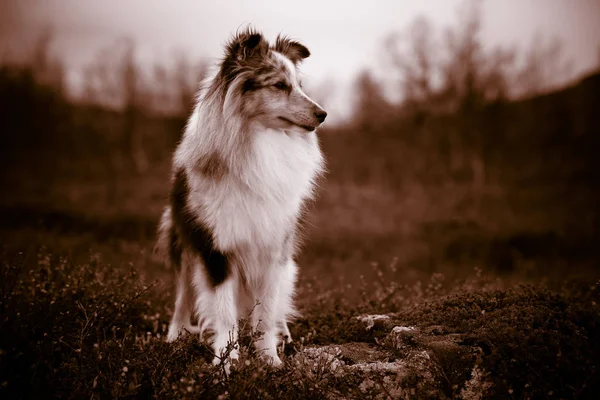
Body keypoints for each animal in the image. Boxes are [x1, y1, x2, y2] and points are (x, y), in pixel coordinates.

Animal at [152, 28, 326, 368]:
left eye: (300, 85)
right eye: (279, 85)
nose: (323, 114)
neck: (259, 144)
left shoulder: (274, 249)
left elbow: (266, 313)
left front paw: (270, 360)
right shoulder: (217, 248)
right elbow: (224, 312)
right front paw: (226, 362)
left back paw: (284, 336)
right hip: (184, 244)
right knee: (182, 297)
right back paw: (174, 337)